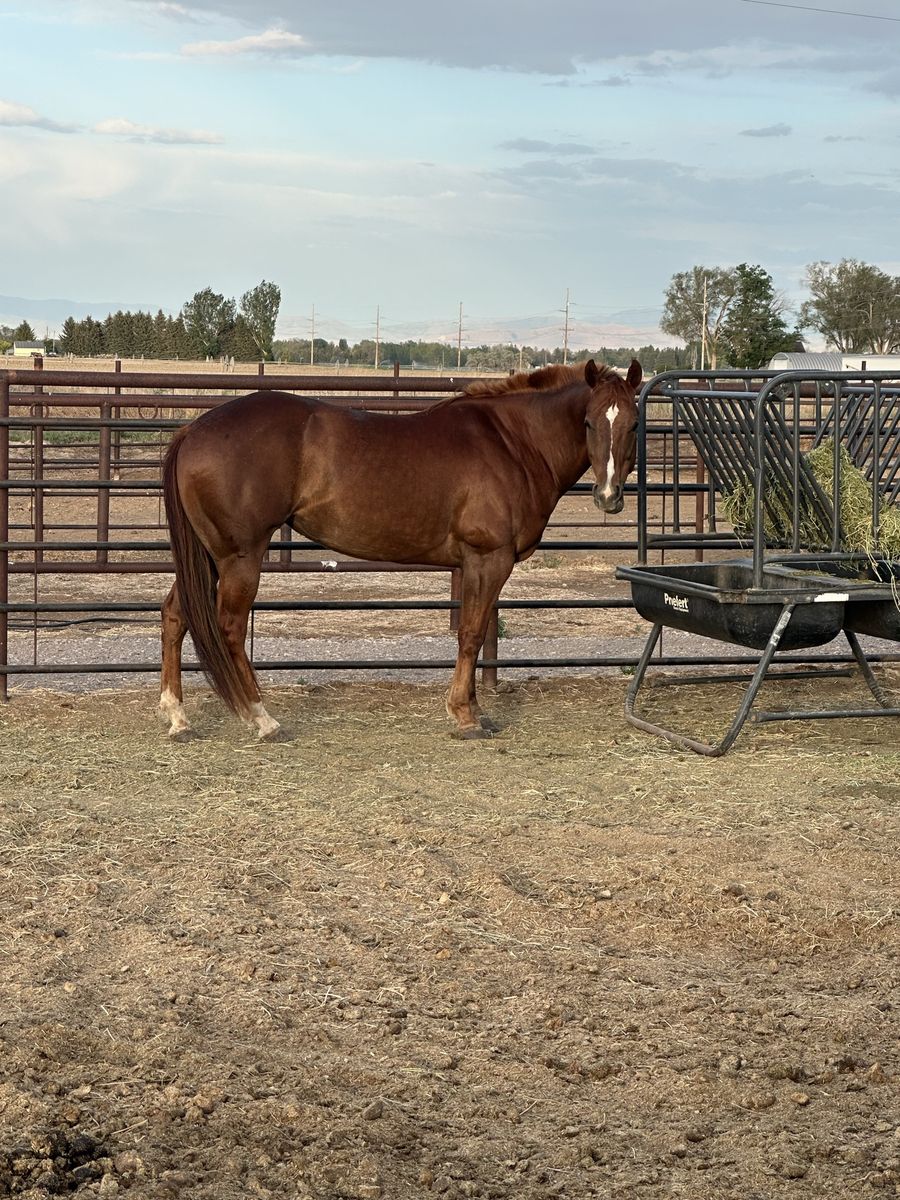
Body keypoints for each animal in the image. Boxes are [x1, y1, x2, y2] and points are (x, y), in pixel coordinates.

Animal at [159, 358, 642, 740]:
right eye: (589, 422)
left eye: (633, 424)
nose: (608, 497)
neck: (511, 443)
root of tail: (193, 429)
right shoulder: (489, 558)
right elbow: (471, 634)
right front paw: (465, 717)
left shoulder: (476, 563)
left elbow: (473, 629)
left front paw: (473, 709)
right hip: (239, 557)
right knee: (229, 627)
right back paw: (261, 719)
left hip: (209, 557)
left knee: (176, 614)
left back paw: (177, 717)